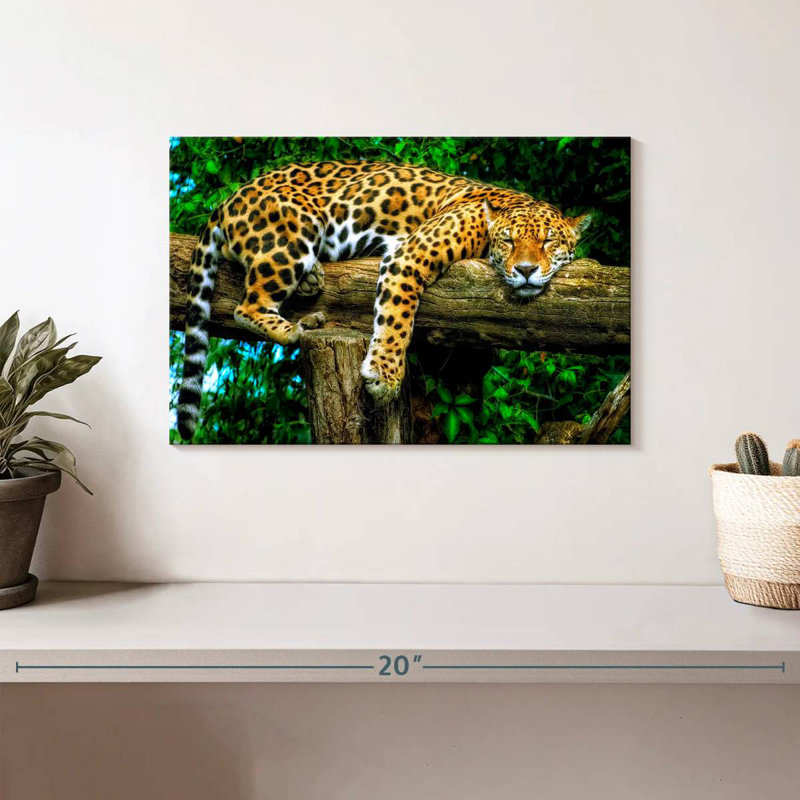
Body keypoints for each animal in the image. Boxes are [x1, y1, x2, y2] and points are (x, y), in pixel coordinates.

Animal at [177, 160, 591, 441]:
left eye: (549, 242)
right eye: (508, 241)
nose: (525, 269)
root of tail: (228, 199)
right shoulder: (410, 254)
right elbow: (397, 319)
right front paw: (384, 376)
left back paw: (311, 284)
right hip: (292, 232)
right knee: (246, 306)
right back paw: (298, 328)